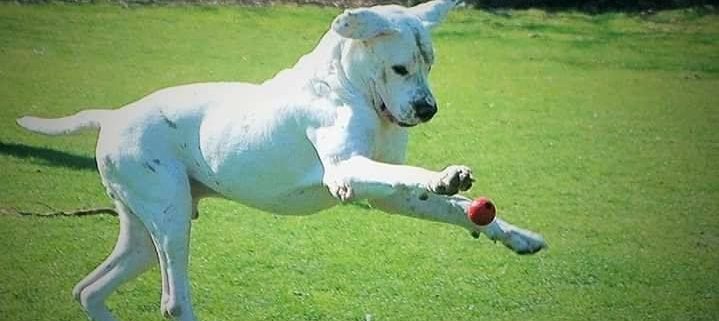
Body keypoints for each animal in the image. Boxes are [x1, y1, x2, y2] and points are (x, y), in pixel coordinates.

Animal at [16, 1, 544, 318]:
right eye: (400, 68)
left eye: (430, 63)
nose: (428, 109)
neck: (347, 84)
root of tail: (113, 115)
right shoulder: (346, 173)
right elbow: (417, 176)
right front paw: (443, 175)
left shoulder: (391, 197)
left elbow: (456, 209)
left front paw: (514, 234)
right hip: (169, 222)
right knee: (173, 303)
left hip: (145, 235)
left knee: (89, 290)